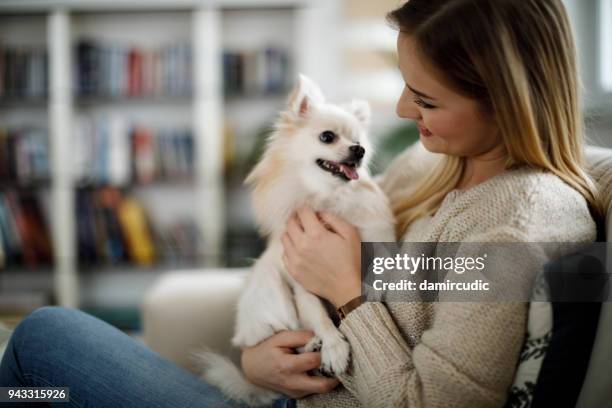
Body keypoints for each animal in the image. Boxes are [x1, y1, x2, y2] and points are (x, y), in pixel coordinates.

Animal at [196, 75, 396, 404]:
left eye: (360, 142)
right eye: (327, 137)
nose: (359, 150)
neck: (328, 198)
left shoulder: (375, 239)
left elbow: (379, 264)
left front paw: (374, 287)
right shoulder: (303, 285)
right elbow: (319, 315)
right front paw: (334, 346)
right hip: (271, 288)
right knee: (288, 332)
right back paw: (313, 346)